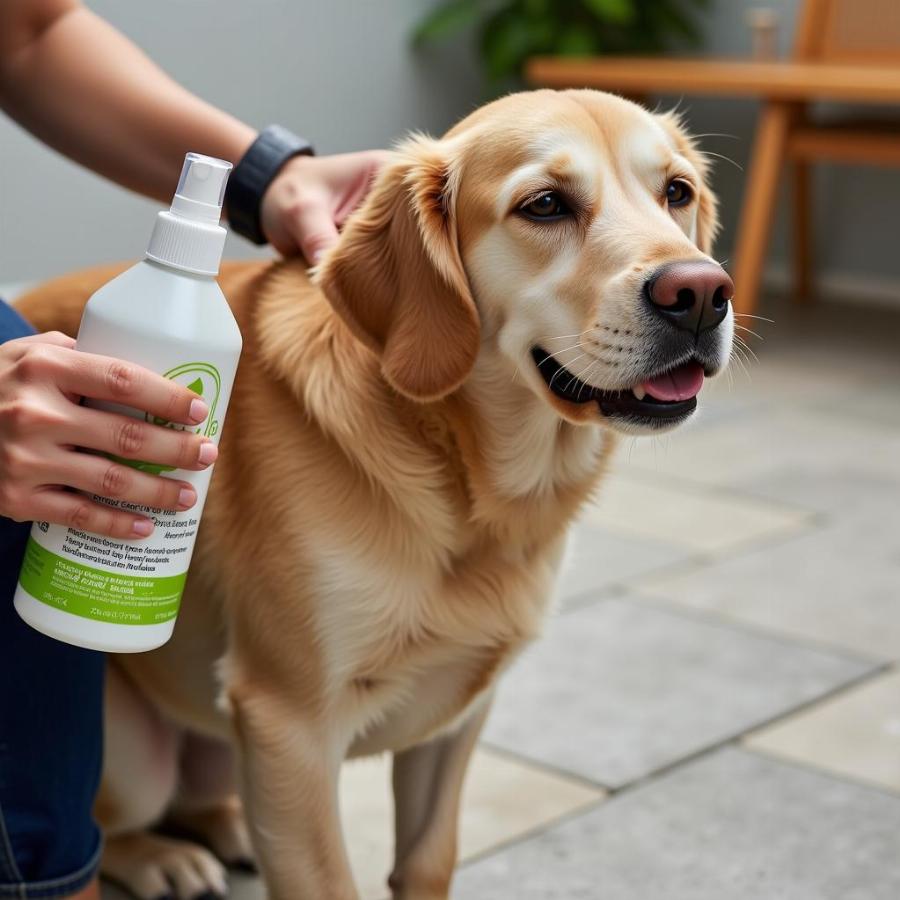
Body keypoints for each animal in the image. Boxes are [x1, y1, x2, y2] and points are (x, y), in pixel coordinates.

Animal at [17, 89, 736, 900]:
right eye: (546, 204)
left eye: (676, 192)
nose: (702, 293)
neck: (469, 483)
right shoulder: (290, 723)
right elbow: (329, 879)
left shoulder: (458, 715)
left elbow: (428, 859)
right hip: (140, 759)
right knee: (116, 825)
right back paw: (163, 859)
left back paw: (227, 830)